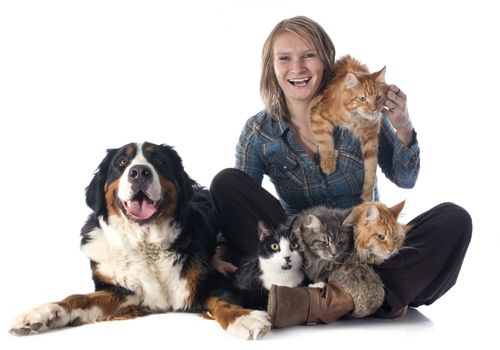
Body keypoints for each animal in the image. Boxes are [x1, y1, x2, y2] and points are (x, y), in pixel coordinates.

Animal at [10, 142, 270, 340]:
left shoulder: (208, 280)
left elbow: (222, 301)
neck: (145, 243)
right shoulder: (121, 291)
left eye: (159, 161)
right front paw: (42, 314)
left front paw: (245, 318)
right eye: (121, 163)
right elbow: (77, 298)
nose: (139, 172)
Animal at [310, 55, 388, 201]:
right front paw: (328, 164)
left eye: (378, 97)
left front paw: (368, 196)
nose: (373, 109)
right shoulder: (319, 114)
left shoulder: (371, 140)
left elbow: (371, 170)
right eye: (362, 99)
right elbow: (325, 142)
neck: (357, 120)